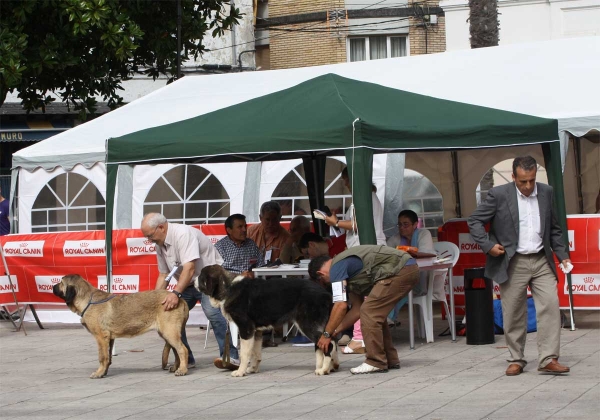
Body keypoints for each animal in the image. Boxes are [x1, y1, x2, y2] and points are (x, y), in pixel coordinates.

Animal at [54, 274, 190, 378]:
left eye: (61, 282)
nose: (53, 286)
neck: (87, 300)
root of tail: (180, 299)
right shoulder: (109, 338)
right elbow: (108, 357)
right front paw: (104, 372)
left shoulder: (101, 337)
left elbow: (102, 357)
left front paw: (99, 373)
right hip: (167, 333)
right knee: (176, 350)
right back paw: (176, 367)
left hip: (169, 332)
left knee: (182, 350)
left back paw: (182, 370)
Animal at [198, 264, 336, 376]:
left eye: (200, 277)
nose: (194, 280)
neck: (228, 288)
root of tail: (325, 293)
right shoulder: (256, 331)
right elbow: (255, 353)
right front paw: (253, 369)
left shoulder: (246, 328)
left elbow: (245, 353)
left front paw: (241, 371)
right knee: (326, 343)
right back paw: (327, 368)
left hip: (307, 324)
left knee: (327, 344)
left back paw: (324, 370)